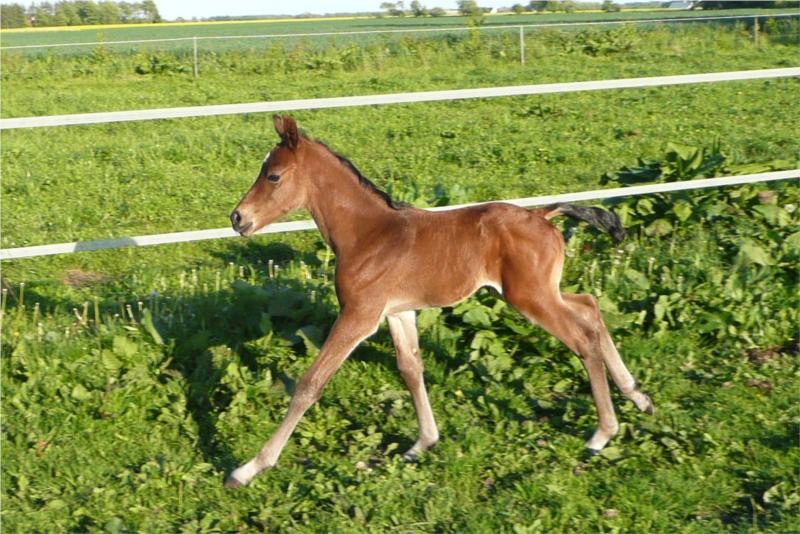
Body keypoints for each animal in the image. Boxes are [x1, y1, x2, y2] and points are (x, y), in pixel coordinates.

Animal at [223, 116, 648, 490]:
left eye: (273, 175)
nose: (238, 217)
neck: (368, 234)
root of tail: (543, 214)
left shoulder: (359, 316)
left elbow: (311, 383)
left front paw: (248, 469)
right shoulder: (399, 312)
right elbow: (411, 368)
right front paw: (422, 443)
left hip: (531, 298)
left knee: (582, 339)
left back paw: (602, 433)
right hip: (538, 291)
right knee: (590, 308)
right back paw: (638, 397)